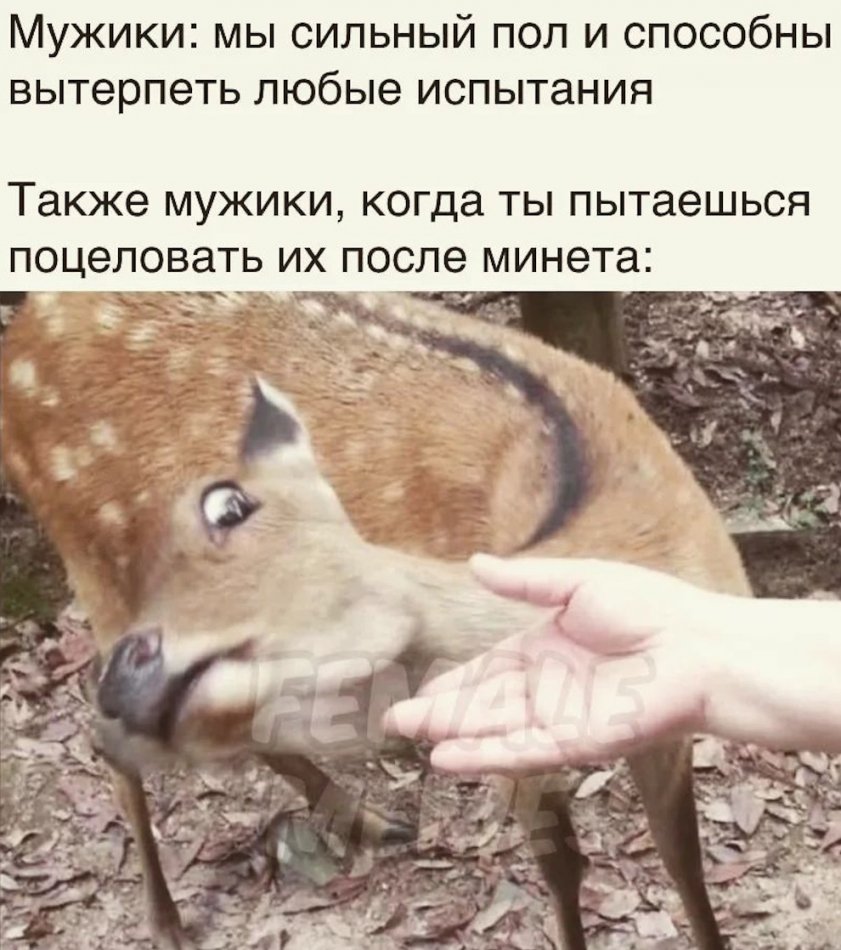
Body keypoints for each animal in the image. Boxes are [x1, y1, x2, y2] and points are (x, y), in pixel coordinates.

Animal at [0, 291, 751, 950]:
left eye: (229, 510)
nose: (136, 678)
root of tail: (23, 331)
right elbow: (565, 869)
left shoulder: (669, 729)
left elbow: (682, 861)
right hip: (94, 561)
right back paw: (167, 920)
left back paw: (366, 821)